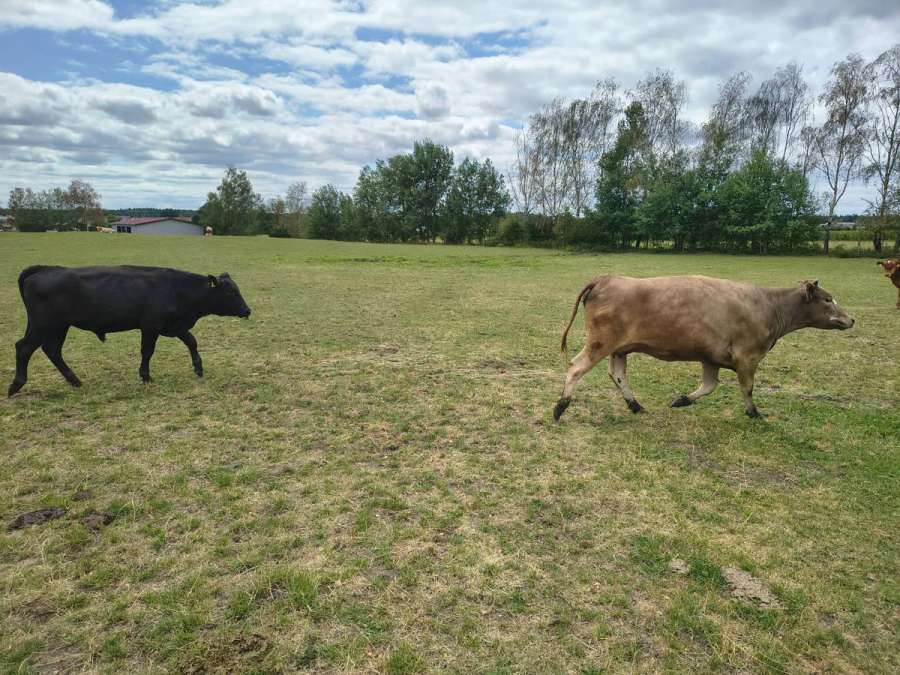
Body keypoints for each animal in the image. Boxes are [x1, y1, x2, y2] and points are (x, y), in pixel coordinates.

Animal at [8, 265, 251, 397]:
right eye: (230, 292)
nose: (247, 310)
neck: (176, 289)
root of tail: (45, 269)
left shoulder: (175, 326)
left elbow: (192, 341)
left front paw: (198, 368)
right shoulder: (151, 326)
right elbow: (147, 351)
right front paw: (145, 376)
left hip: (54, 327)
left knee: (51, 351)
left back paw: (74, 380)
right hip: (46, 326)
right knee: (25, 348)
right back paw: (16, 385)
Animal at [553, 275, 854, 421]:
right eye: (828, 299)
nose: (851, 319)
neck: (768, 305)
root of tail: (606, 278)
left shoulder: (711, 358)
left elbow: (709, 386)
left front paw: (681, 400)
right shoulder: (748, 357)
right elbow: (747, 388)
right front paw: (754, 413)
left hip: (619, 348)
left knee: (617, 375)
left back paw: (635, 405)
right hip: (600, 342)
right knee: (576, 367)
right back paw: (561, 406)